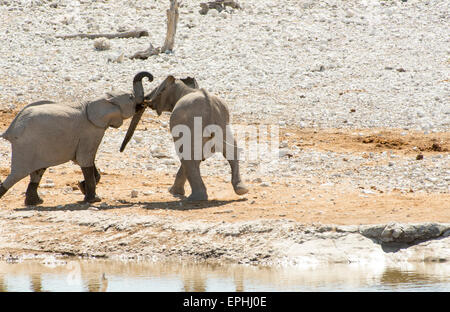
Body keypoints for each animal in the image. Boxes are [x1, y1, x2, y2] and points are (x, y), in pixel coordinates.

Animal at [0, 72, 154, 206]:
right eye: (131, 97)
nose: (150, 78)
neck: (99, 100)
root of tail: (10, 129)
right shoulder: (90, 132)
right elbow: (85, 160)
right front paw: (93, 199)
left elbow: (82, 160)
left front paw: (81, 186)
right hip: (26, 146)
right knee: (17, 175)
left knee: (38, 171)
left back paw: (36, 202)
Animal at [119, 75, 250, 201]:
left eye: (156, 88)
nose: (121, 150)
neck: (186, 88)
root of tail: (209, 106)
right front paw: (174, 192)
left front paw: (173, 192)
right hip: (222, 123)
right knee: (230, 150)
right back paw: (241, 190)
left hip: (193, 125)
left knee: (188, 156)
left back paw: (195, 198)